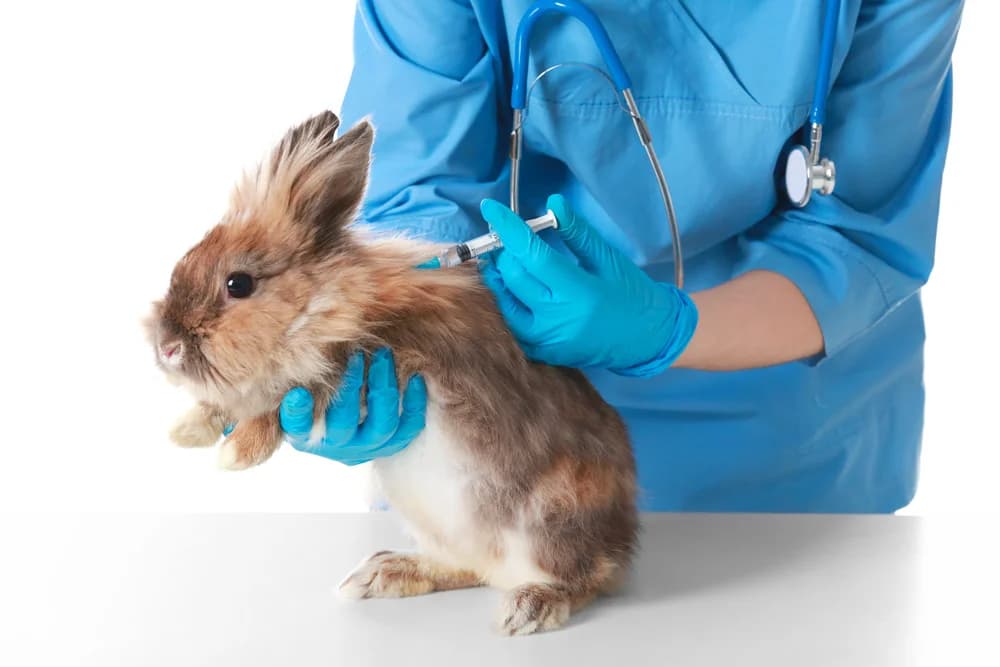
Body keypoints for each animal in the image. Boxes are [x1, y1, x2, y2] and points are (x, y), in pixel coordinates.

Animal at [146, 111, 638, 635]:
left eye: (238, 284)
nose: (167, 348)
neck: (325, 305)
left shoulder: (374, 367)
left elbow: (286, 400)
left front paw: (237, 452)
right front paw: (187, 430)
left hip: (551, 520)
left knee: (583, 576)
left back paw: (528, 607)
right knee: (472, 567)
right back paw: (386, 573)